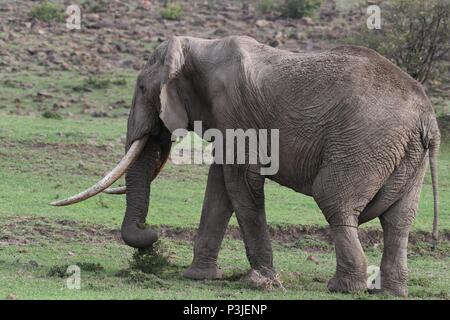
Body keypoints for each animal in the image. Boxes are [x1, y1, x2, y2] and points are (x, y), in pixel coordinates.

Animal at [50, 36, 440, 296]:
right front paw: (199, 277)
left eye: (144, 89)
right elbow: (219, 188)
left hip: (364, 142)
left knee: (334, 200)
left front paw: (259, 282)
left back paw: (343, 288)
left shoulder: (234, 109)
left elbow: (239, 183)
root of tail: (427, 116)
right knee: (399, 221)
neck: (198, 47)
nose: (151, 236)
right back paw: (391, 292)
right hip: (405, 155)